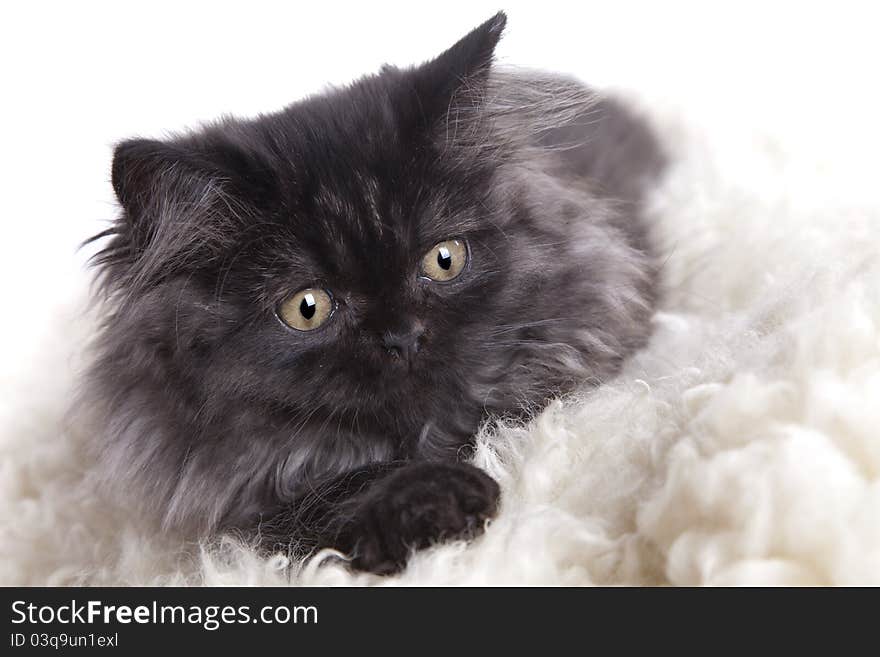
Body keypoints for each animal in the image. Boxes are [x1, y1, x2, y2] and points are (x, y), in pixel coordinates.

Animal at [84, 11, 668, 576]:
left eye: (444, 259)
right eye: (307, 308)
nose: (402, 337)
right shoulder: (246, 499)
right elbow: (335, 489)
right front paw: (437, 502)